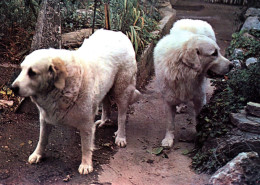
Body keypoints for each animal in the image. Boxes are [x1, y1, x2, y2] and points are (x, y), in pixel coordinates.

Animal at [10, 29, 140, 175]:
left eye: (32, 72)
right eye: (22, 69)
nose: (12, 88)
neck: (62, 86)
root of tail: (118, 33)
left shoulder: (86, 124)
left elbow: (86, 145)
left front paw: (86, 164)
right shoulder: (45, 118)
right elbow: (42, 139)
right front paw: (37, 154)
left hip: (121, 90)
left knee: (122, 116)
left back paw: (120, 137)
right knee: (106, 102)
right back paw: (104, 120)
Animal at [153, 18, 233, 147]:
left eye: (219, 52)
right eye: (214, 54)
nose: (232, 65)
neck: (182, 71)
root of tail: (192, 20)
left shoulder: (199, 98)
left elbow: (200, 117)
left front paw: (200, 136)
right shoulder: (168, 99)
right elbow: (170, 123)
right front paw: (168, 139)